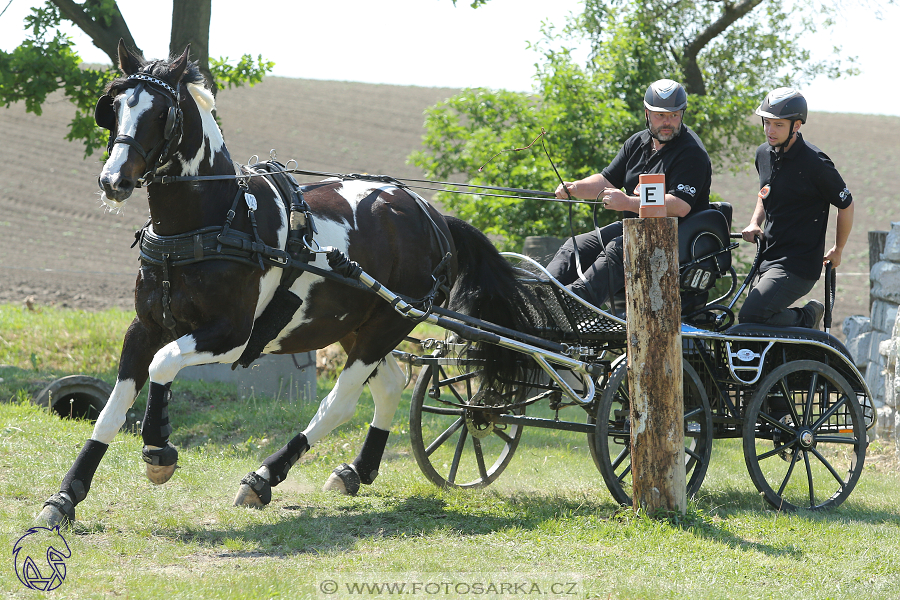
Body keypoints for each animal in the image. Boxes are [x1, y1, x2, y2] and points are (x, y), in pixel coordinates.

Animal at [37, 42, 540, 528]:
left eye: (162, 112)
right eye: (115, 105)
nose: (113, 180)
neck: (214, 221)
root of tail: (432, 215)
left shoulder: (232, 335)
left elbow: (164, 364)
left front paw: (158, 449)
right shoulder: (144, 328)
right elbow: (110, 410)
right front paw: (65, 498)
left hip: (389, 323)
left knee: (340, 401)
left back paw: (263, 476)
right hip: (355, 326)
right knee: (390, 384)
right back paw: (356, 470)